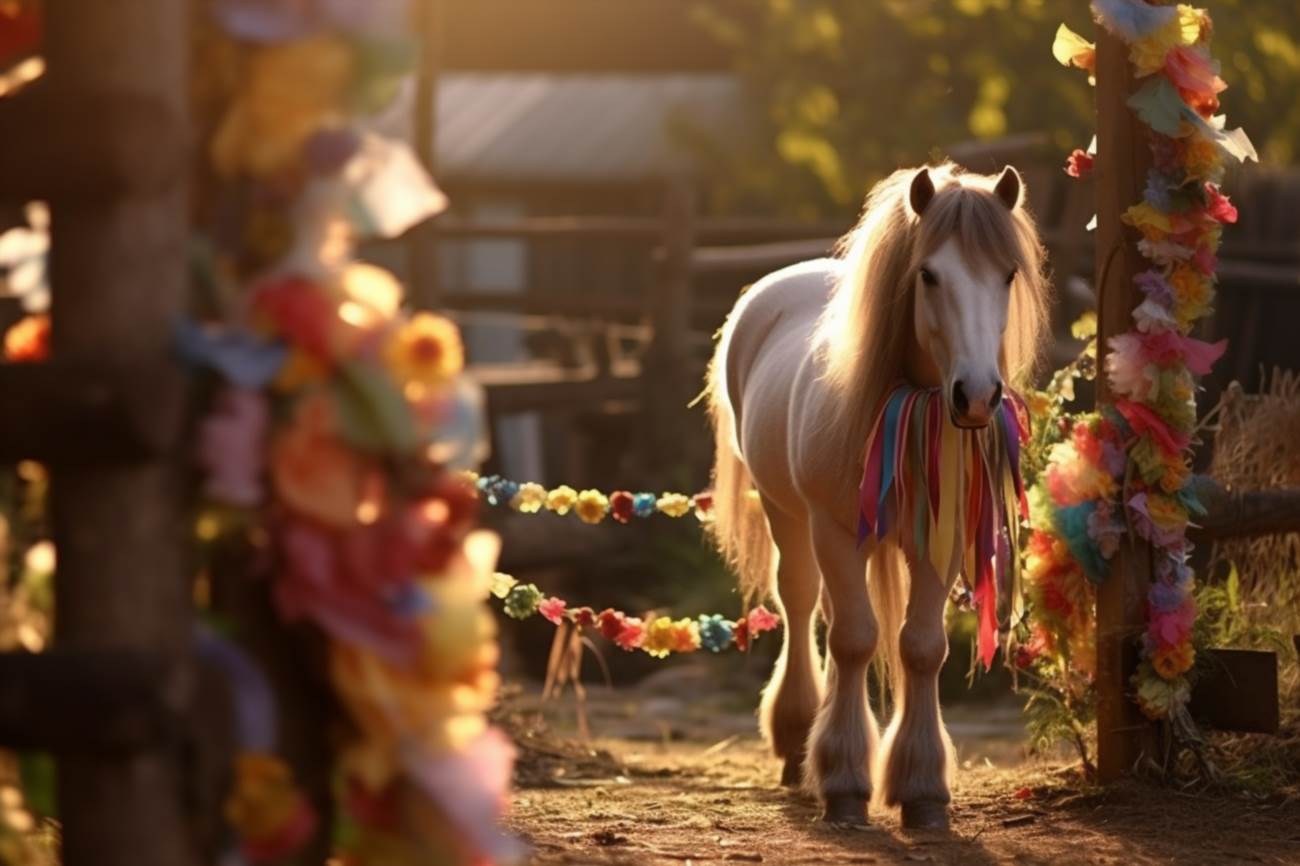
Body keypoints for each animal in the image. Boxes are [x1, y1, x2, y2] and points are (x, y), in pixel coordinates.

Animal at [707, 163, 1050, 832]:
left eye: (1007, 274)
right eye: (929, 274)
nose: (977, 396)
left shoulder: (939, 542)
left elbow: (921, 648)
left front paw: (922, 789)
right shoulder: (835, 532)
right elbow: (853, 640)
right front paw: (843, 783)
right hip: (787, 513)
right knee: (803, 604)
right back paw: (797, 741)